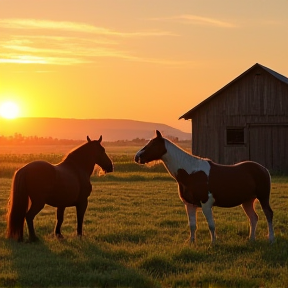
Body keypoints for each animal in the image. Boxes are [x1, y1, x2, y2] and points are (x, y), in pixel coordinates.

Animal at [135, 130, 274, 243]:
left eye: (153, 144)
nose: (137, 157)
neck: (191, 172)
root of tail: (263, 169)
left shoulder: (206, 204)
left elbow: (211, 225)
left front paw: (214, 243)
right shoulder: (189, 204)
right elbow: (192, 225)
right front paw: (191, 242)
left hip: (263, 197)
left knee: (268, 214)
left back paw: (271, 239)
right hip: (247, 201)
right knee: (253, 218)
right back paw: (251, 239)